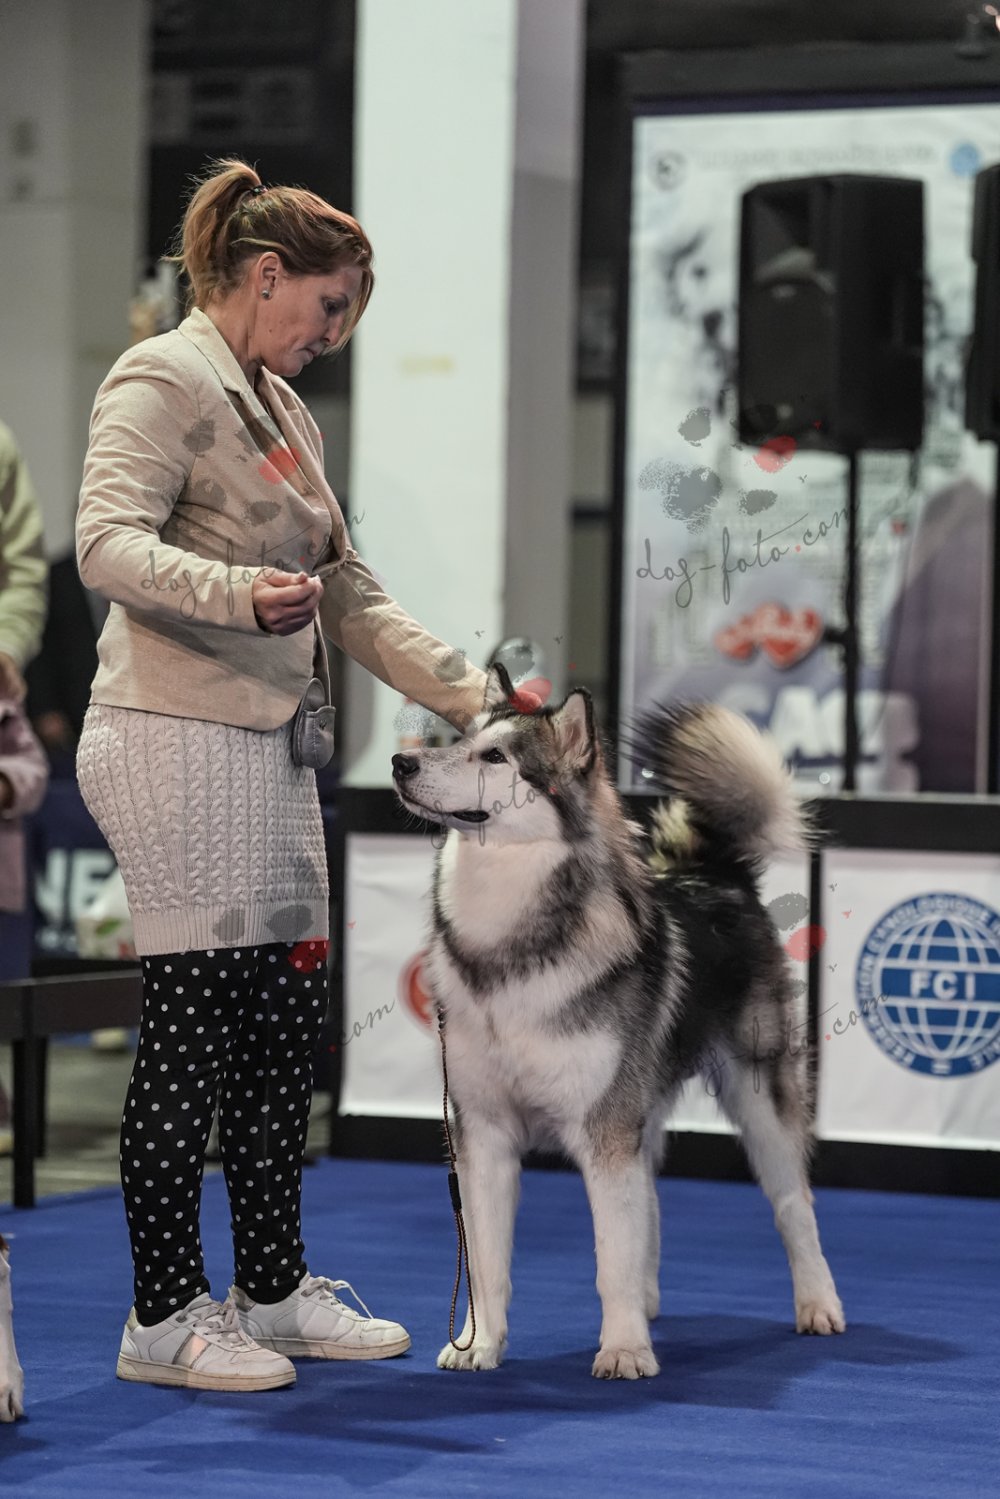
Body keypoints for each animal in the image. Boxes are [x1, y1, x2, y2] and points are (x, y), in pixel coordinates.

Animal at [391, 666, 845, 1379]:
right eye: (459, 740)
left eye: (495, 758)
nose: (401, 763)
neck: (511, 947)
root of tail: (715, 872)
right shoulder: (483, 1133)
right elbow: (489, 1261)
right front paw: (482, 1343)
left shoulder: (604, 1130)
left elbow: (610, 1254)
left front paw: (624, 1348)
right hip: (643, 1102)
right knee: (649, 1201)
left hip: (759, 1099)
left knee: (794, 1206)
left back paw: (818, 1304)